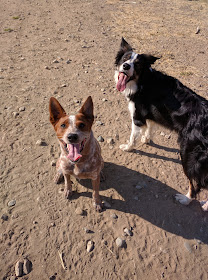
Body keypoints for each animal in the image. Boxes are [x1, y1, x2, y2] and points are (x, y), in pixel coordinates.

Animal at [114, 38, 207, 211]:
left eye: (137, 64)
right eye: (125, 58)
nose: (126, 66)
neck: (142, 80)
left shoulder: (137, 117)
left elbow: (133, 137)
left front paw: (128, 147)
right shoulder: (151, 114)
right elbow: (150, 127)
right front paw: (146, 139)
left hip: (188, 155)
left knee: (195, 184)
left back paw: (185, 199)